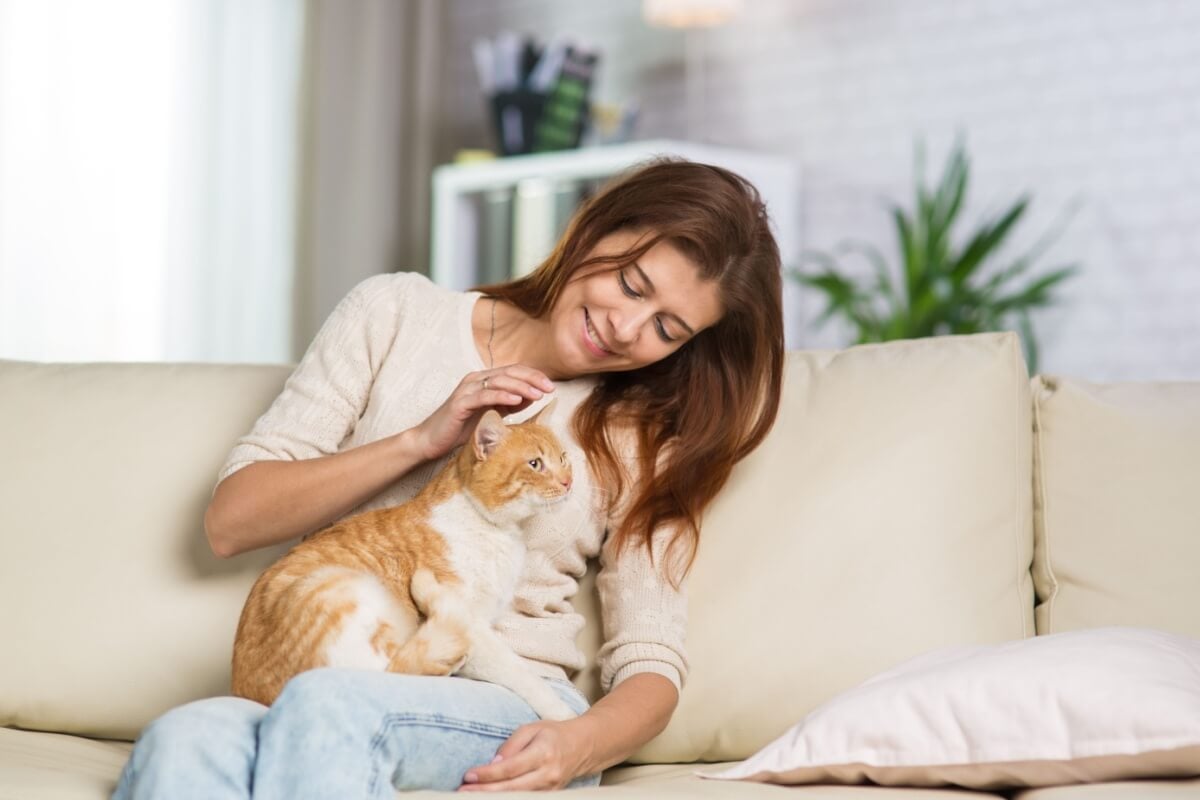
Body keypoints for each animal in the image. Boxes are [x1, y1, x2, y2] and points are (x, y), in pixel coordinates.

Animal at [231, 402, 578, 724]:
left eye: (562, 458)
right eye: (535, 464)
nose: (568, 482)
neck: (495, 530)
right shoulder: (477, 628)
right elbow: (521, 673)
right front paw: (562, 716)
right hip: (338, 588)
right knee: (396, 668)